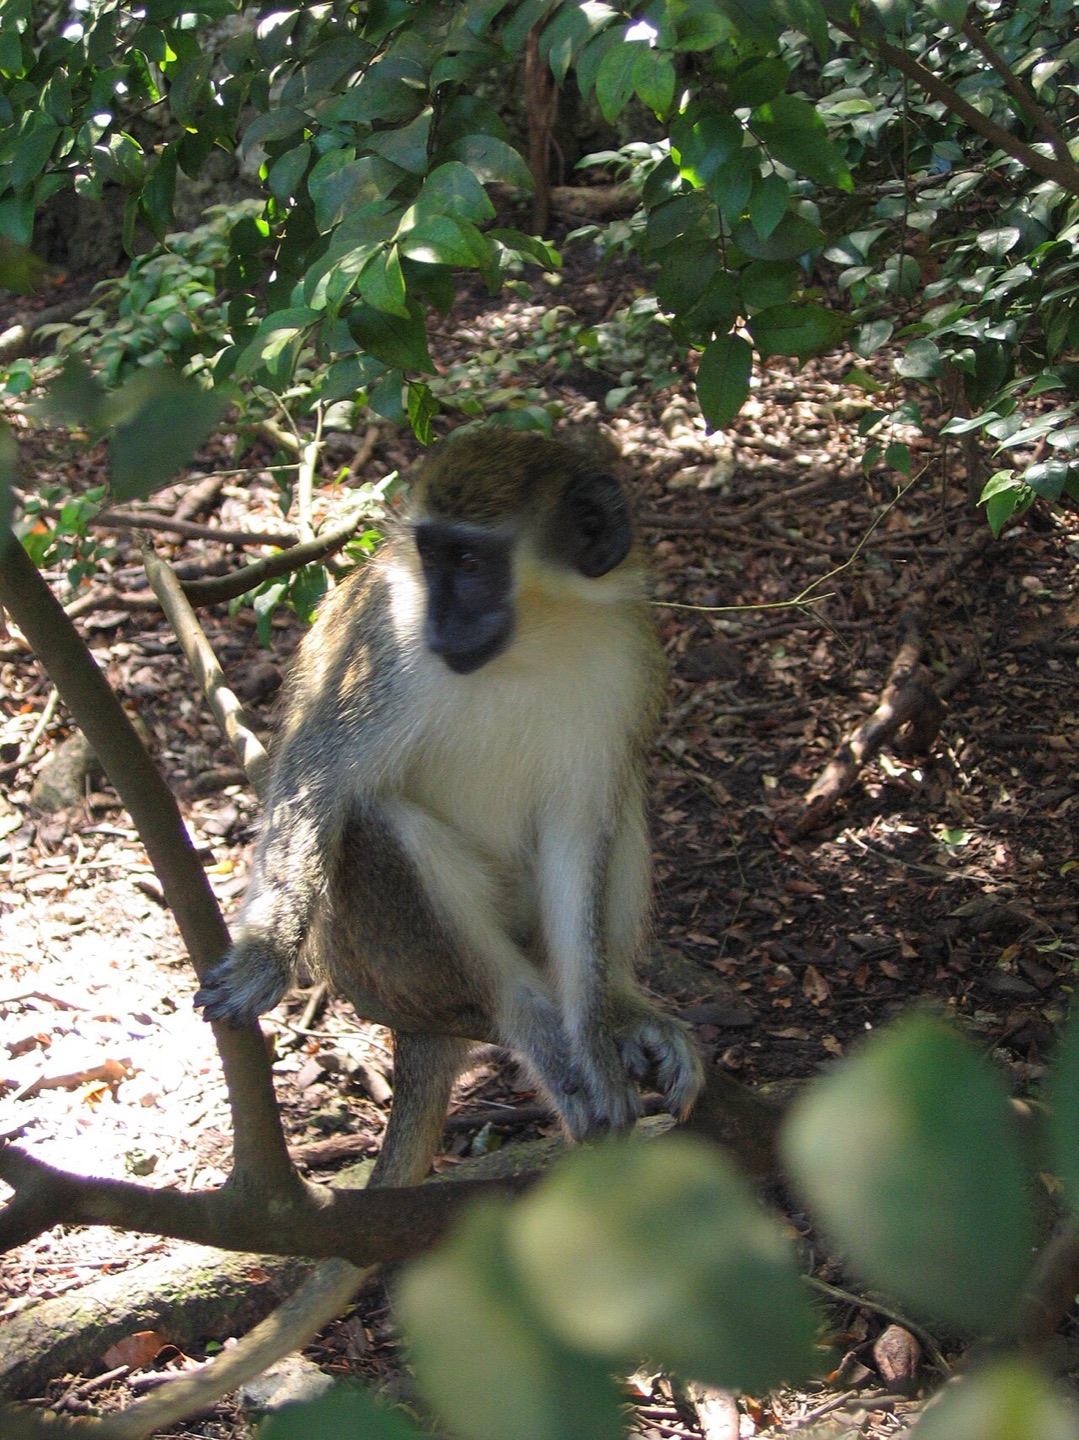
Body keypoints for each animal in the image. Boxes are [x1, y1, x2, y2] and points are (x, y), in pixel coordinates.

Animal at [195, 427, 703, 1186]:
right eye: (431, 559)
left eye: (468, 562)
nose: (441, 620)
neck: (534, 644)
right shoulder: (384, 649)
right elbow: (320, 777)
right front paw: (264, 955)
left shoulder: (627, 657)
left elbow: (579, 833)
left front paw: (594, 1038)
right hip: (375, 966)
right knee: (377, 825)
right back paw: (527, 1023)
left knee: (622, 804)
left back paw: (618, 1008)